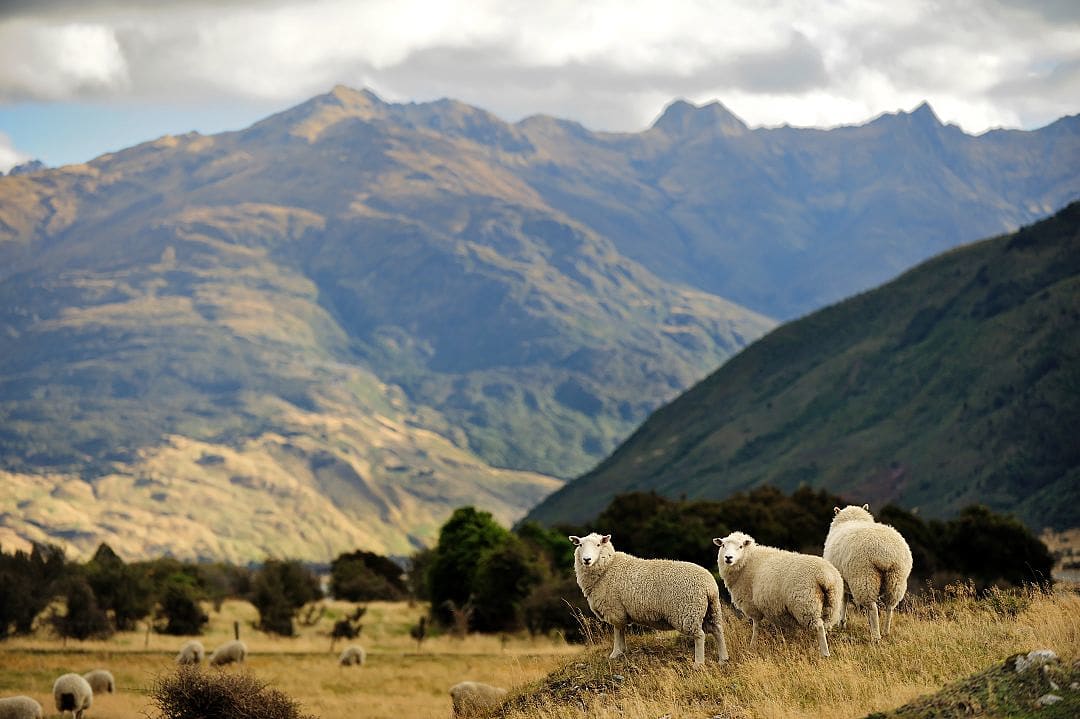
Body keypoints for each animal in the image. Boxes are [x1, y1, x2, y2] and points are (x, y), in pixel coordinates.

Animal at [569, 532, 728, 666]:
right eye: (580, 545)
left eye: (598, 545)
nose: (586, 559)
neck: (607, 567)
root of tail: (710, 586)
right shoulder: (620, 611)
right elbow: (621, 631)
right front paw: (622, 651)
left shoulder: (615, 609)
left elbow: (617, 631)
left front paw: (616, 653)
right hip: (711, 610)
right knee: (718, 630)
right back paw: (723, 659)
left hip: (688, 611)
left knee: (700, 635)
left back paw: (698, 663)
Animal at [713, 531, 844, 657]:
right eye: (723, 545)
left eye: (740, 546)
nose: (728, 558)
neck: (747, 561)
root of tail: (825, 576)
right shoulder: (774, 608)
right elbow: (778, 628)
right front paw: (783, 643)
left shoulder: (753, 605)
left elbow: (756, 626)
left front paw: (752, 646)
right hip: (831, 606)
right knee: (824, 627)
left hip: (807, 604)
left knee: (819, 627)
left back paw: (825, 654)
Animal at [823, 504, 914, 640]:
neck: (854, 519)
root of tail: (885, 554)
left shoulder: (841, 580)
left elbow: (844, 600)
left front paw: (842, 623)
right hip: (896, 578)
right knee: (889, 606)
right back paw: (885, 631)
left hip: (865, 578)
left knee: (872, 608)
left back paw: (876, 635)